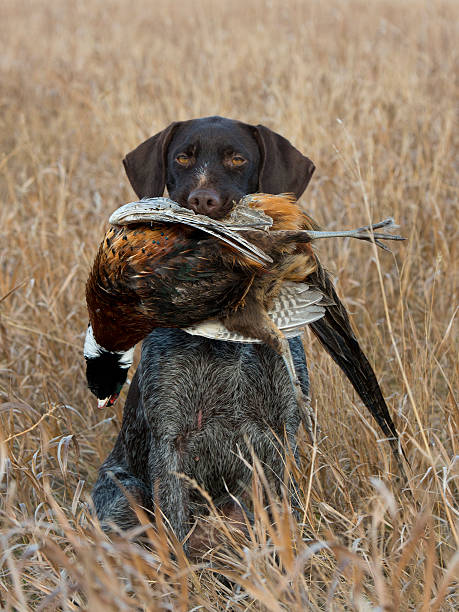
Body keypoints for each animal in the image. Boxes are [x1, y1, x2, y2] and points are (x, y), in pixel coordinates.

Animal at [92, 115, 318, 548]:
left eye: (237, 158)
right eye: (182, 156)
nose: (202, 201)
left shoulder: (282, 431)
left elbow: (288, 515)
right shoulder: (171, 439)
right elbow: (174, 527)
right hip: (122, 492)